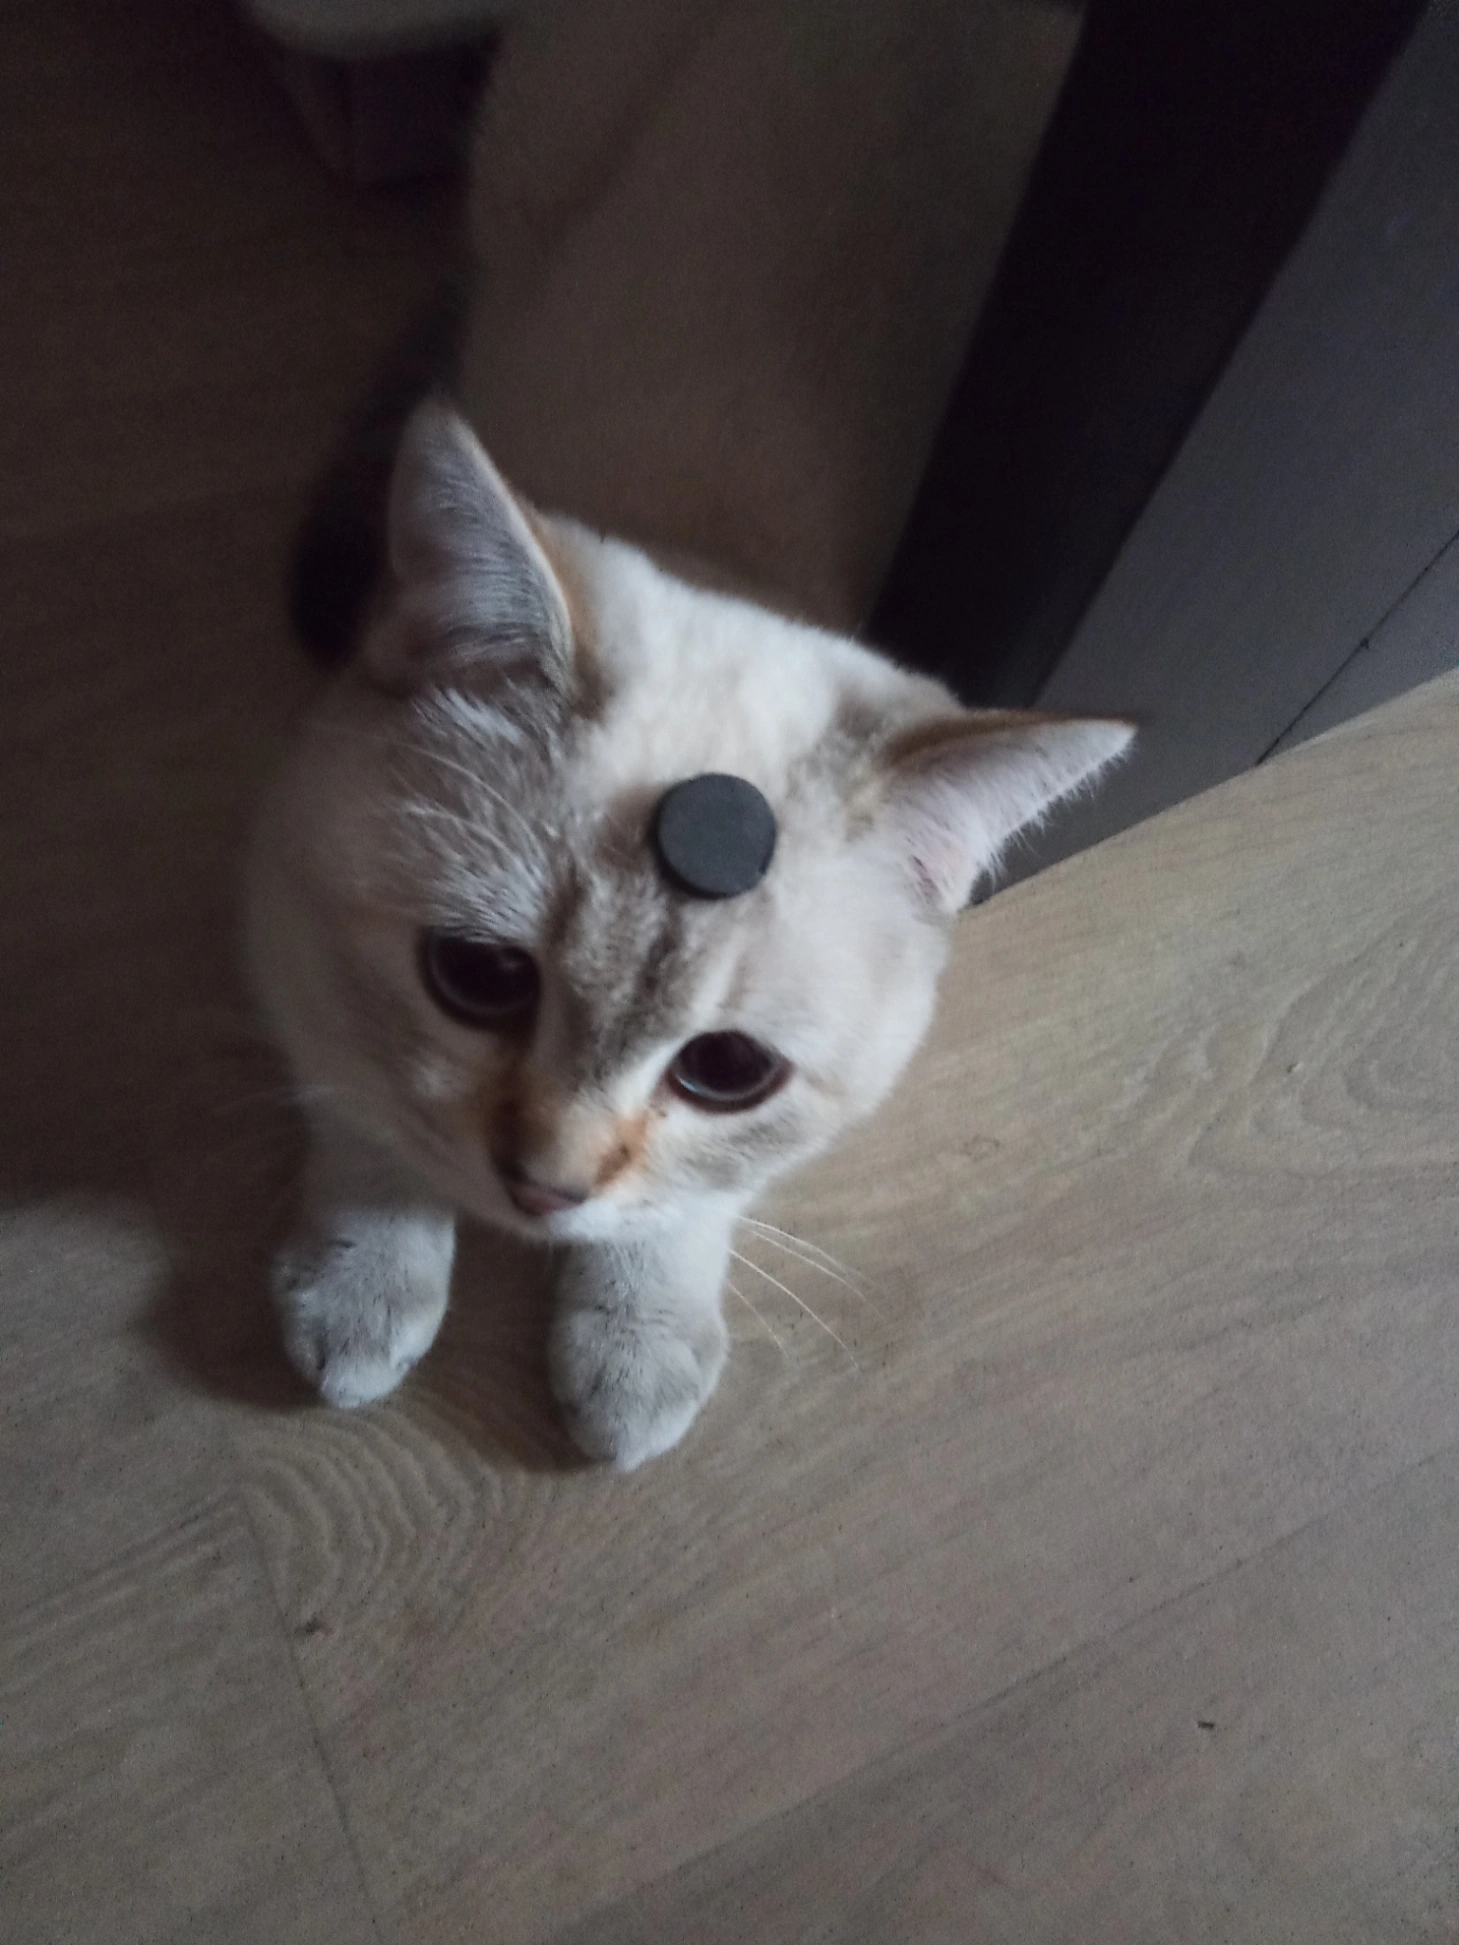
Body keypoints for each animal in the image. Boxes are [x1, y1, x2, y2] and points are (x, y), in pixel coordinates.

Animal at [249, 396, 1132, 1468]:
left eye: (726, 1069)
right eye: (478, 975)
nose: (543, 1193)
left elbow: (693, 1198)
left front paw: (637, 1343)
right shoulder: (290, 927)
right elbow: (367, 1108)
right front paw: (361, 1282)